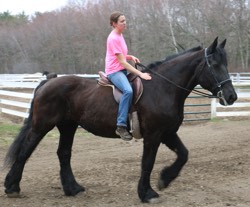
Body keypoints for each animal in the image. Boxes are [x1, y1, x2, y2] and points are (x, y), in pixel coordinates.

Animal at [3, 37, 236, 202]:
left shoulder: (167, 132)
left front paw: (164, 179)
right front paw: (147, 193)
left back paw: (73, 189)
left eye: (226, 63)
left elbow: (183, 155)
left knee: (64, 154)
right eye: (214, 64)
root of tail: (48, 81)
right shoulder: (154, 135)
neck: (163, 88)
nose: (231, 96)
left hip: (68, 126)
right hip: (42, 125)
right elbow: (147, 162)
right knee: (25, 152)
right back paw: (12, 187)